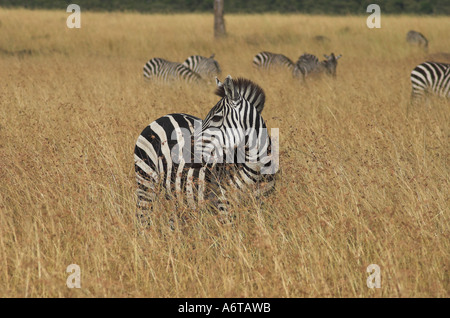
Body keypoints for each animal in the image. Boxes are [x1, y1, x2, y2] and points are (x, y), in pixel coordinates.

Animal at [133, 75, 278, 224]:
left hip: (174, 194)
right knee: (143, 217)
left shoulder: (263, 205)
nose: (188, 152)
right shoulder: (223, 205)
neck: (256, 170)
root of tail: (164, 116)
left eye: (217, 117)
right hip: (146, 182)